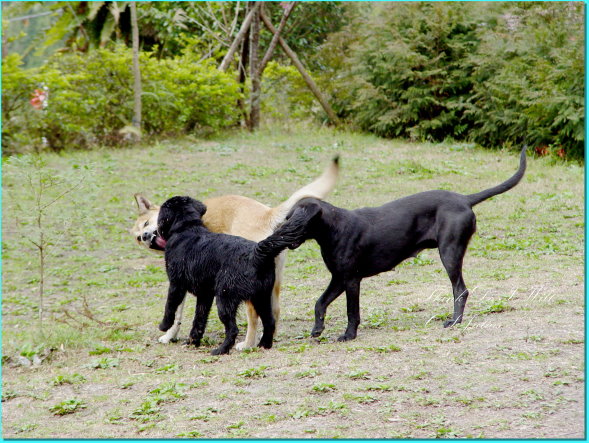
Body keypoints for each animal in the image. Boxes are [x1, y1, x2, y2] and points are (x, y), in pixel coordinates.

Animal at [157, 196, 312, 356]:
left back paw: (222, 349)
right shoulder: (205, 295)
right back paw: (264, 344)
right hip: (261, 297)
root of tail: (256, 253)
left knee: (233, 329)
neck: (187, 228)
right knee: (269, 322)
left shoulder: (176, 285)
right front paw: (193, 341)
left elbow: (170, 307)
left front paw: (164, 326)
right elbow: (199, 319)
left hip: (225, 299)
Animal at [282, 147, 524, 342]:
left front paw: (349, 335)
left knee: (460, 290)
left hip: (450, 253)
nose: (278, 234)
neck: (332, 229)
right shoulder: (338, 278)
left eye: (294, 220)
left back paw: (454, 321)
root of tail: (464, 199)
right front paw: (317, 329)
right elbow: (319, 302)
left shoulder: (351, 279)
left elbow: (352, 312)